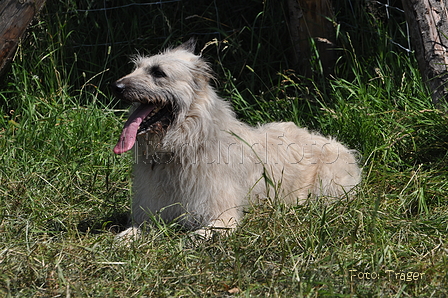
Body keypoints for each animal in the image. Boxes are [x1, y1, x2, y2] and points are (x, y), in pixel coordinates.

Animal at [110, 39, 362, 239]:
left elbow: (192, 237)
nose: (116, 86)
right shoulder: (150, 213)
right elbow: (133, 230)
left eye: (158, 72)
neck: (184, 145)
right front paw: (125, 238)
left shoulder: (223, 218)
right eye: (136, 67)